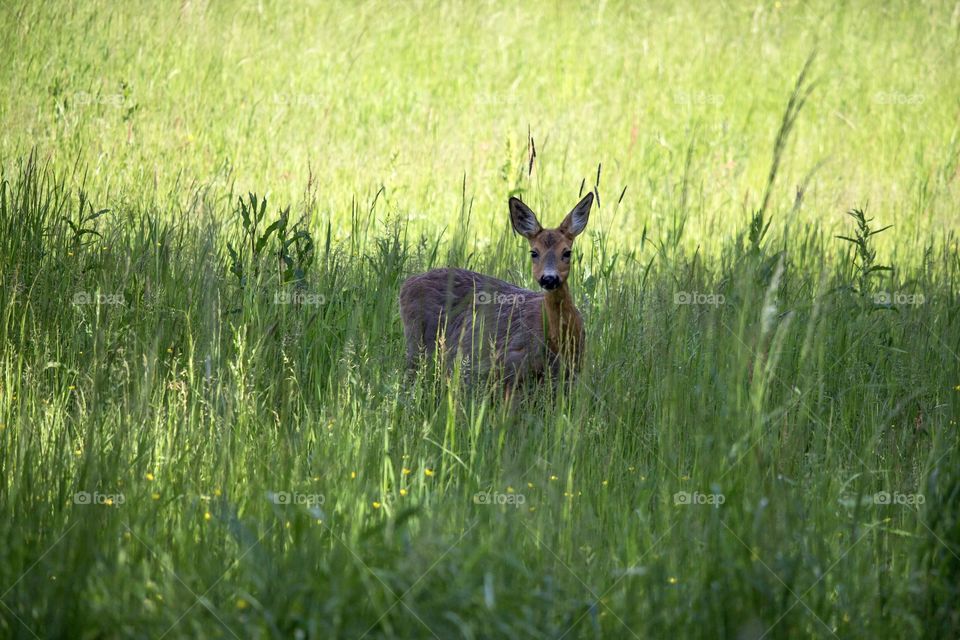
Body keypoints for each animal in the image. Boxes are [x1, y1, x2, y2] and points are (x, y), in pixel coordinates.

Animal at [399, 192, 593, 390]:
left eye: (567, 252)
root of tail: (409, 282)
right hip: (417, 343)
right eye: (534, 252)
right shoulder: (510, 366)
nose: (549, 278)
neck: (558, 341)